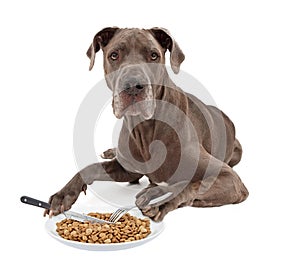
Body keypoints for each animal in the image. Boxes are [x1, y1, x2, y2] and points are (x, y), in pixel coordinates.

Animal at [45, 27, 248, 222]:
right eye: (114, 55)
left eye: (153, 55)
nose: (133, 86)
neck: (145, 129)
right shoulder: (129, 170)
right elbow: (90, 168)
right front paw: (63, 195)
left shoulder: (229, 177)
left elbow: (192, 184)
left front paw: (162, 199)